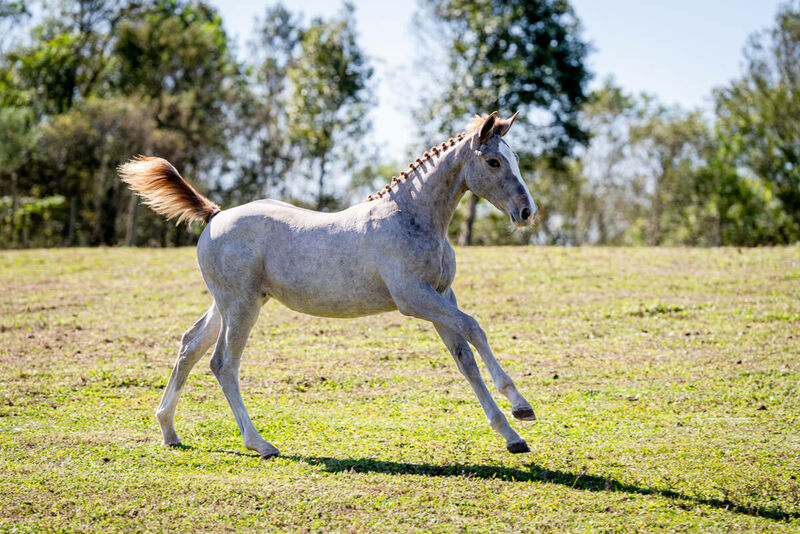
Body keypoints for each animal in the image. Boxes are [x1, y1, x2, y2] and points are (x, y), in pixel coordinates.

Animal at [120, 111, 536, 458]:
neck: (411, 217)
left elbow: (464, 358)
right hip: (241, 306)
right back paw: (259, 444)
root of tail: (215, 215)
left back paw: (169, 431)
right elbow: (474, 327)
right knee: (222, 363)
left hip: (230, 303)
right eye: (494, 161)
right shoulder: (413, 297)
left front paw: (512, 437)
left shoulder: (441, 295)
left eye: (514, 158)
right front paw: (520, 405)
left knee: (190, 345)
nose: (527, 212)